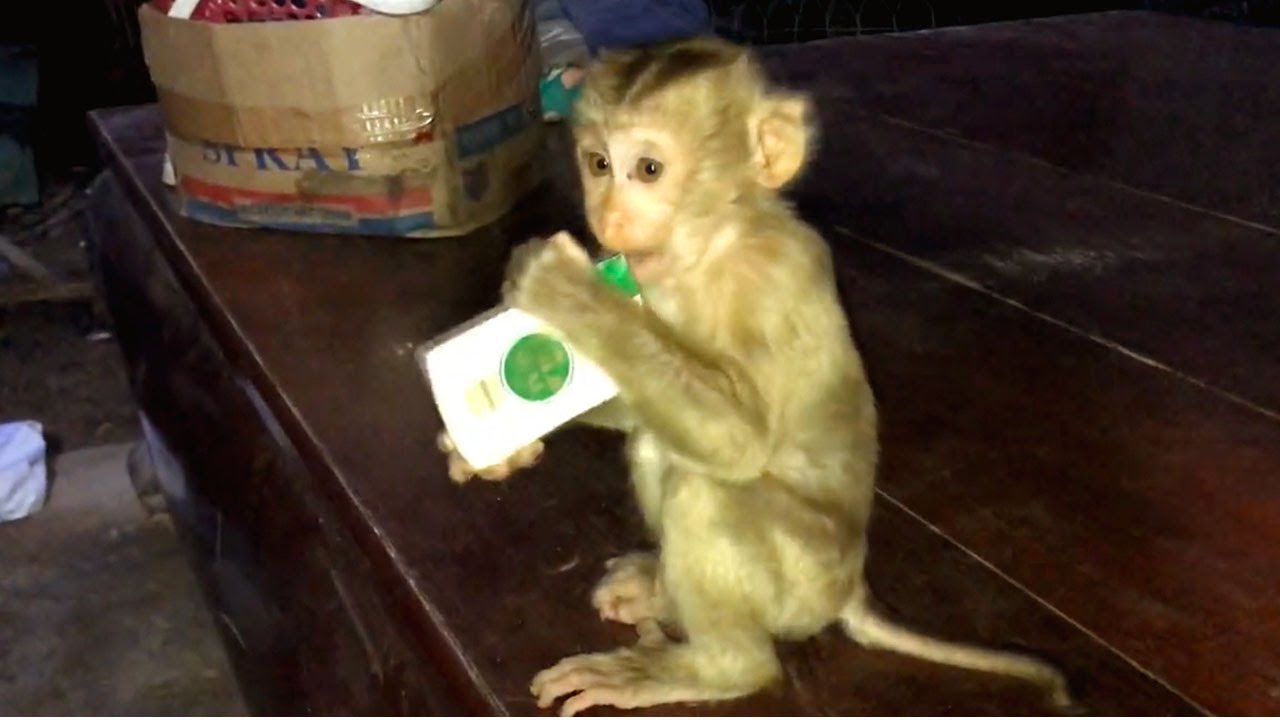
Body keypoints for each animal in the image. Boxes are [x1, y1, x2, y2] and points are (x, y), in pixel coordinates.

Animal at [437, 37, 1073, 716]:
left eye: (648, 170)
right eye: (599, 163)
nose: (608, 215)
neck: (713, 245)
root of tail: (849, 588)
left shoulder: (767, 281)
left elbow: (736, 443)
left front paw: (564, 292)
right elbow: (643, 407)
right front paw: (496, 450)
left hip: (802, 583)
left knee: (707, 492)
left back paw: (716, 669)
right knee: (657, 444)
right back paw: (661, 591)